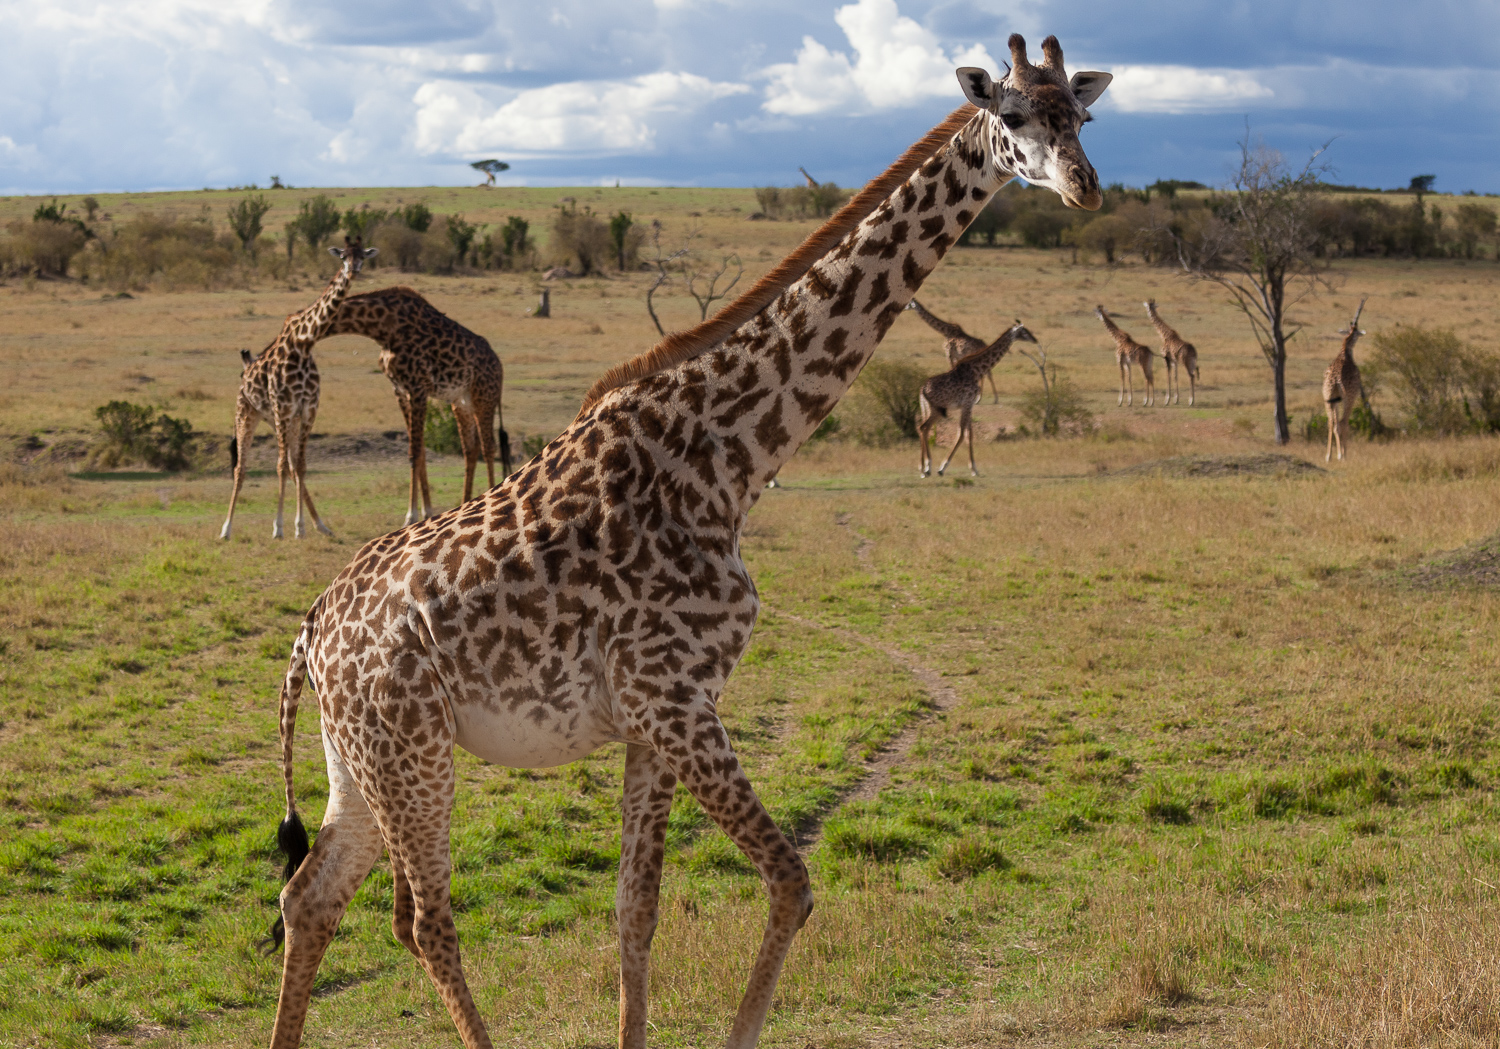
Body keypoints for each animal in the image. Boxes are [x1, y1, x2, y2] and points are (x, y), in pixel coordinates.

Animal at [219, 238, 378, 540]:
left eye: (363, 256)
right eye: (343, 256)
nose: (354, 270)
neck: (304, 342)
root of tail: (245, 371)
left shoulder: (307, 410)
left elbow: (300, 465)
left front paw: (301, 527)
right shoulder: (284, 408)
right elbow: (280, 466)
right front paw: (279, 528)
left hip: (280, 420)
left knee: (292, 464)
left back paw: (321, 525)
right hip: (248, 415)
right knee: (241, 468)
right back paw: (226, 529)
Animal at [319, 286, 513, 525]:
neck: (383, 328)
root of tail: (500, 367)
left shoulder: (417, 388)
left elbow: (414, 451)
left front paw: (411, 515)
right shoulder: (400, 391)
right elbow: (419, 452)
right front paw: (425, 511)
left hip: (483, 397)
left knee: (488, 447)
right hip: (461, 402)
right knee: (471, 448)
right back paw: (465, 504)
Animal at [912, 318, 1044, 477]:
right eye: (1024, 331)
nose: (1035, 339)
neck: (977, 370)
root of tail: (922, 390)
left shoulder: (968, 405)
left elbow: (969, 434)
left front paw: (974, 468)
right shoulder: (968, 403)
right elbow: (962, 433)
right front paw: (943, 467)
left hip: (925, 408)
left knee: (922, 428)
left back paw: (924, 467)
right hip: (936, 409)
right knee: (924, 427)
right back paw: (926, 468)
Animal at [1320, 295, 1368, 459]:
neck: (1344, 352)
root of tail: (1334, 381)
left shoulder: (1333, 398)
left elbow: (1333, 424)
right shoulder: (1353, 395)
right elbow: (1344, 423)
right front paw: (1343, 453)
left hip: (1328, 397)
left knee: (1331, 423)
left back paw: (1328, 456)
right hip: (1348, 398)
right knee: (1342, 422)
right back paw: (1342, 455)